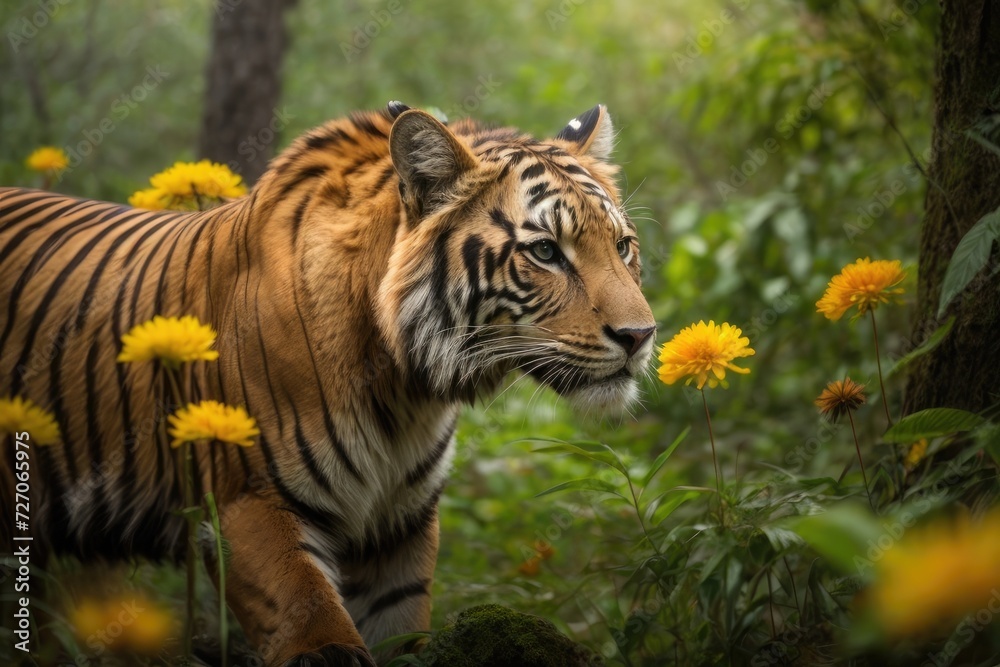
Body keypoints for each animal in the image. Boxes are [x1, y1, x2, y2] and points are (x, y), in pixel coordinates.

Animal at [0, 102, 656, 666]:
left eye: (623, 246)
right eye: (545, 251)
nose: (641, 335)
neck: (405, 388)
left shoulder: (400, 525)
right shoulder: (249, 501)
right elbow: (309, 617)